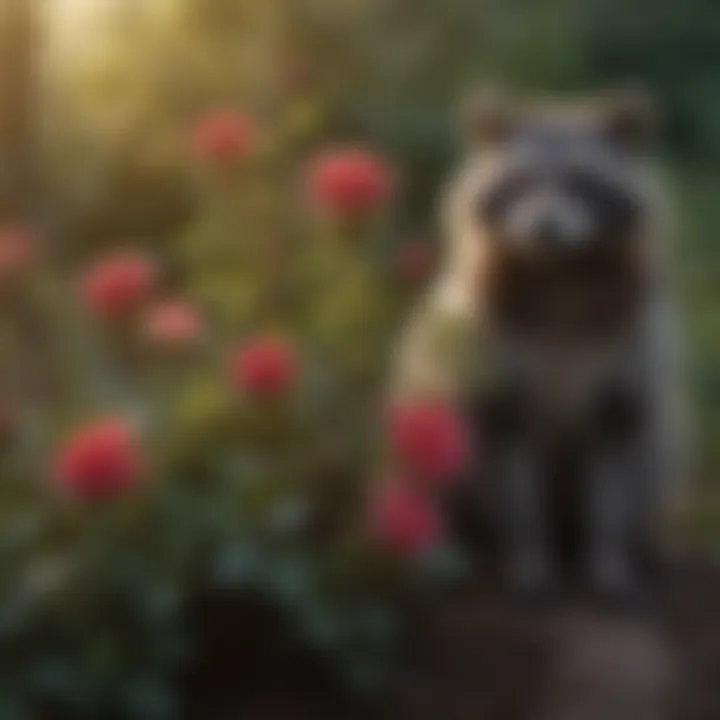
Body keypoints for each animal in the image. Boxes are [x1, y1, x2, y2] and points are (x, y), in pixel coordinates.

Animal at [391, 89, 687, 601]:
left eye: (580, 182)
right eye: (523, 183)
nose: (546, 228)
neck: (559, 275)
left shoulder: (627, 359)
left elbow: (615, 474)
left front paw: (607, 559)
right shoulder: (493, 367)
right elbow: (514, 479)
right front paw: (529, 557)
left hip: (659, 430)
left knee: (654, 456)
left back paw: (640, 542)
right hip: (424, 403)